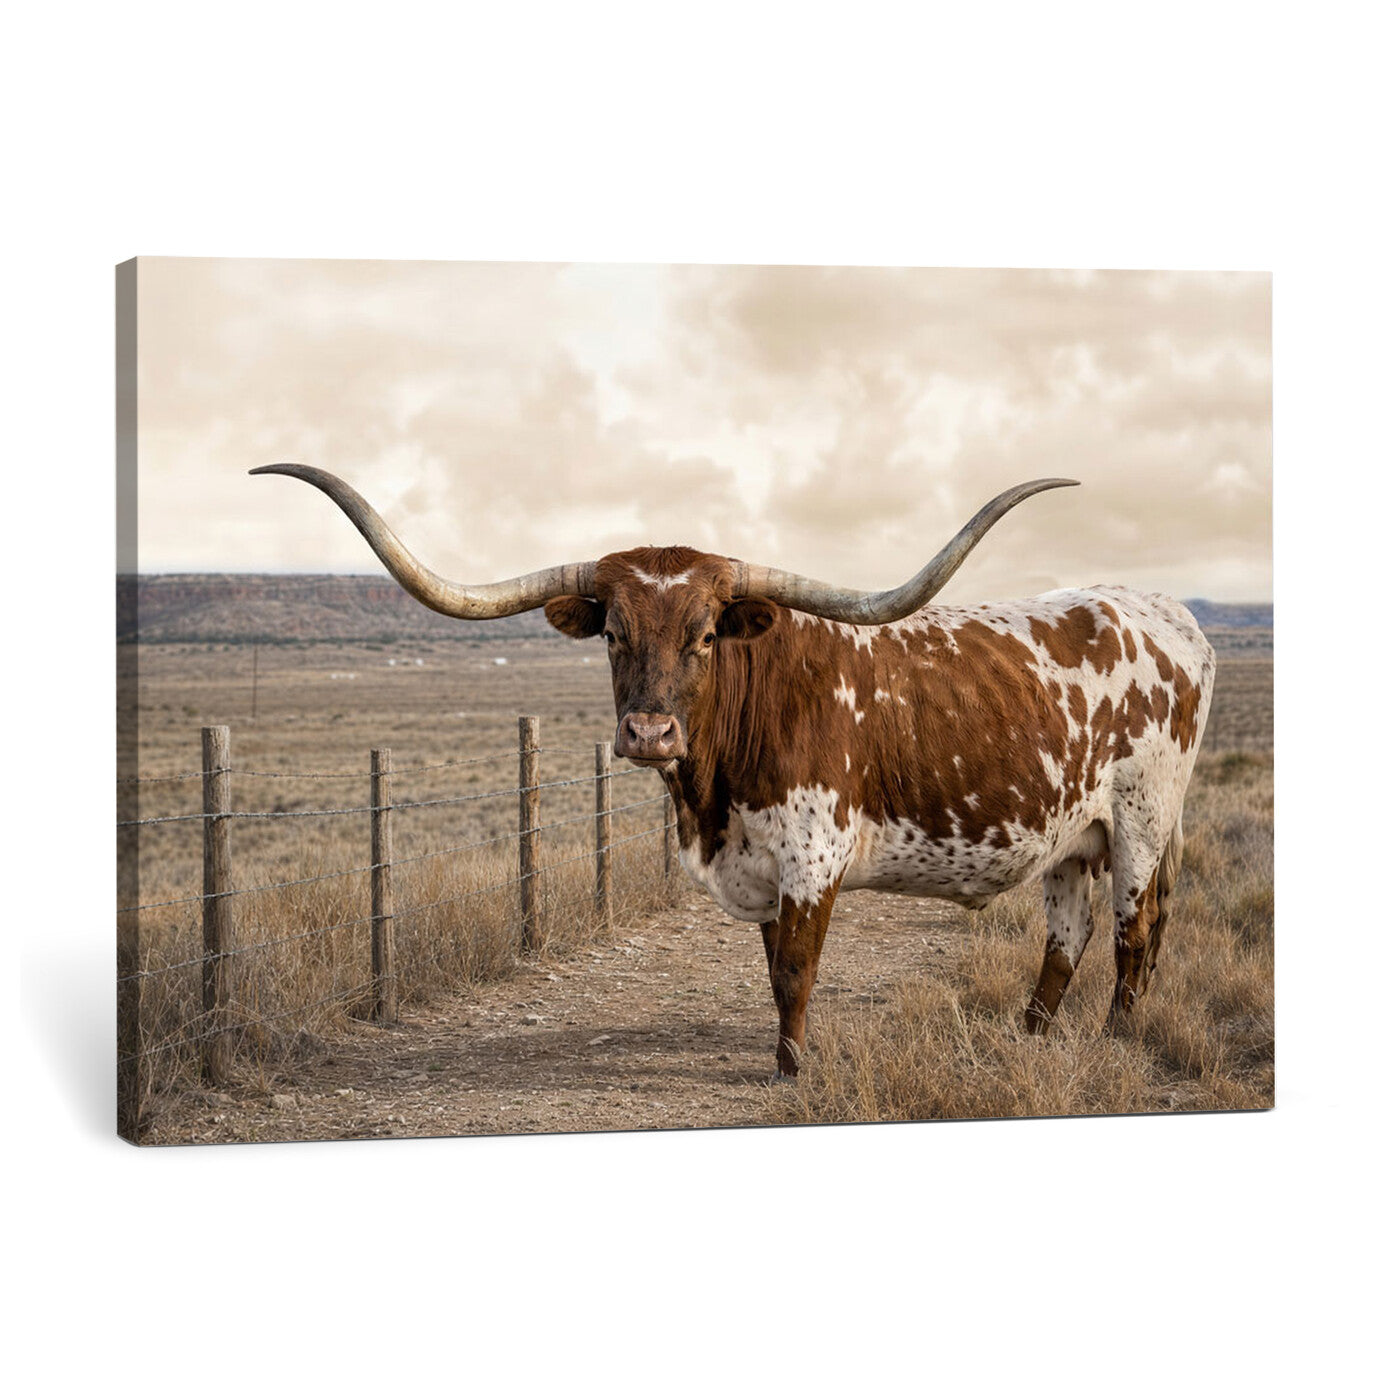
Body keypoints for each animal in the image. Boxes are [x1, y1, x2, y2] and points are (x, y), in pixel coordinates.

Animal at [252, 464, 1215, 1079]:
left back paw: (1114, 1041)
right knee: (1067, 937)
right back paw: (1030, 1036)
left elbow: (796, 970)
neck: (711, 798)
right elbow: (770, 967)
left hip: (1141, 822)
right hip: (1072, 835)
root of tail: (1165, 610)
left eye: (707, 633)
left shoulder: (813, 859)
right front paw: (784, 1056)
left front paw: (790, 1072)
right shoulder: (757, 866)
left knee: (1135, 935)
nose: (649, 732)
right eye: (612, 632)